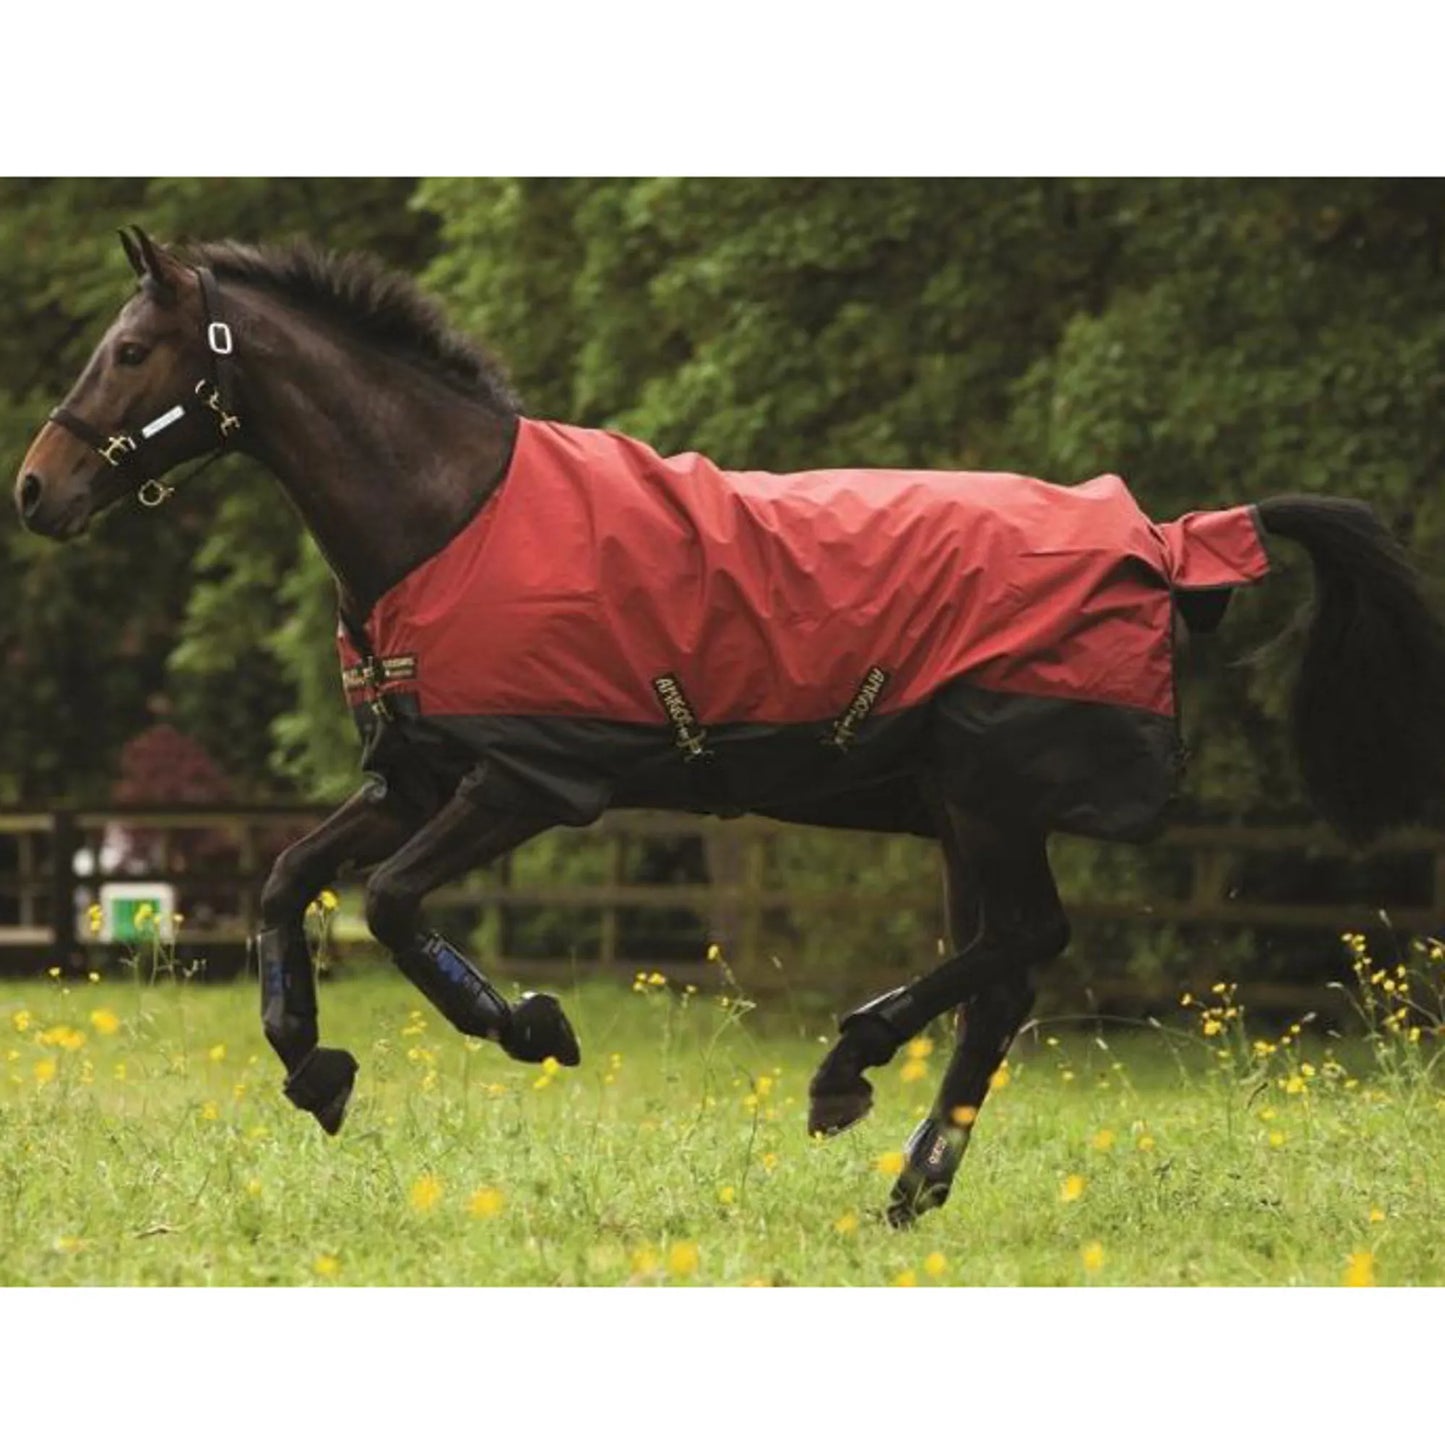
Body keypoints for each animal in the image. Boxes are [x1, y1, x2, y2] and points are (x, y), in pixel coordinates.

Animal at [16, 227, 1445, 1227]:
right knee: (1000, 972)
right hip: (961, 814)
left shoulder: (527, 778)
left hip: (988, 796)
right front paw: (315, 1067)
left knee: (1022, 943)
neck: (448, 512)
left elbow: (390, 905)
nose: (36, 490)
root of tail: (1162, 537)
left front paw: (529, 1026)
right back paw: (907, 1180)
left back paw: (848, 1070)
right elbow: (281, 878)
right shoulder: (422, 773)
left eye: (133, 352)